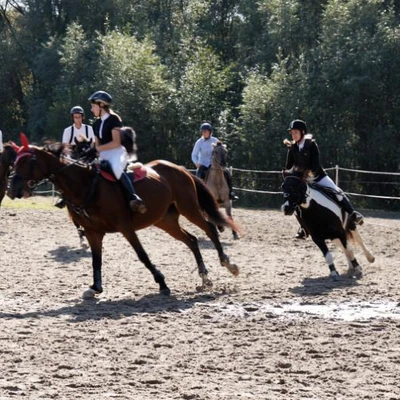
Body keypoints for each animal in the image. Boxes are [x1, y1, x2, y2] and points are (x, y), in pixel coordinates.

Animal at [8, 134, 241, 296]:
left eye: (27, 162)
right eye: (15, 162)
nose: (11, 190)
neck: (86, 185)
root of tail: (180, 169)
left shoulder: (125, 227)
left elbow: (142, 255)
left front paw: (162, 283)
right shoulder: (93, 232)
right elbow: (96, 260)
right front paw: (95, 287)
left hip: (189, 208)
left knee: (210, 229)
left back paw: (228, 264)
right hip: (165, 220)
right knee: (191, 240)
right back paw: (204, 277)